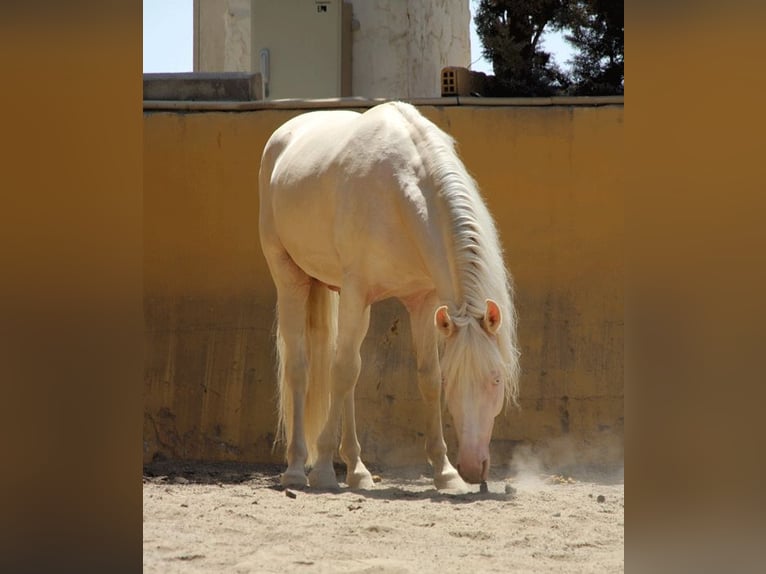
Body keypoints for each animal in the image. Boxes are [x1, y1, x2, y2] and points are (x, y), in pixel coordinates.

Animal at [260, 102, 520, 490]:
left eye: (496, 379)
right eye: (456, 382)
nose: (474, 468)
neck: (400, 193)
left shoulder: (424, 301)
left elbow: (426, 377)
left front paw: (445, 473)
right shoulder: (357, 292)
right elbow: (342, 371)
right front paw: (322, 470)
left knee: (343, 372)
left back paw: (357, 470)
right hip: (290, 277)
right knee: (303, 368)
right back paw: (296, 468)